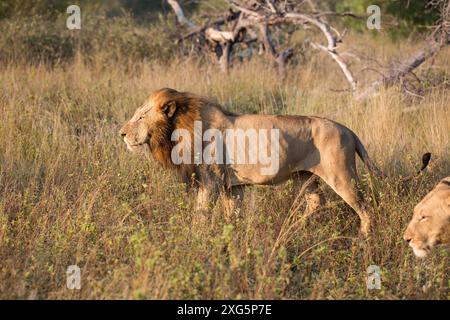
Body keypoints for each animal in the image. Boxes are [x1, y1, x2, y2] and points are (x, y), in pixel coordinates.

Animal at [120, 89, 428, 236]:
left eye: (140, 116)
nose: (121, 133)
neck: (180, 127)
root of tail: (348, 129)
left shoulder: (211, 182)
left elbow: (201, 215)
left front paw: (195, 239)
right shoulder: (232, 186)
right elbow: (232, 216)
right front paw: (231, 238)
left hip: (341, 174)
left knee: (364, 207)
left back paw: (364, 238)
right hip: (305, 176)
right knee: (316, 202)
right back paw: (293, 228)